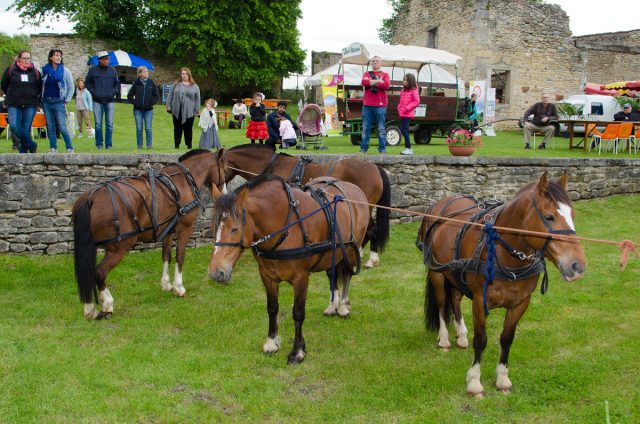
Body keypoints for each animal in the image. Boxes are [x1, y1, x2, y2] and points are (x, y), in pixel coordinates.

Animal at [72, 149, 226, 318]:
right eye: (223, 168)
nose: (224, 192)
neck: (181, 181)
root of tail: (90, 198)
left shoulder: (167, 230)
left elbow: (166, 255)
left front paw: (166, 284)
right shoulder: (185, 228)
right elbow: (180, 256)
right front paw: (179, 287)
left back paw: (90, 309)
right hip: (119, 248)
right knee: (99, 273)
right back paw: (107, 304)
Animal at [209, 176, 368, 364]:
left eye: (235, 229)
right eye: (214, 228)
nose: (216, 272)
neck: (283, 226)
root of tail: (354, 188)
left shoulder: (301, 278)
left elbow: (298, 313)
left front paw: (297, 351)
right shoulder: (267, 276)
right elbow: (272, 308)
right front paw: (272, 342)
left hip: (350, 250)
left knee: (348, 275)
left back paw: (343, 306)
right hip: (333, 253)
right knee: (332, 274)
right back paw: (332, 305)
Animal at [418, 172, 588, 398]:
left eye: (573, 215)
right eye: (549, 216)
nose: (578, 266)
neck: (505, 252)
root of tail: (440, 203)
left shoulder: (520, 303)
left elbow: (507, 339)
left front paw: (502, 379)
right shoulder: (480, 301)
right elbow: (481, 340)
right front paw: (474, 382)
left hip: (455, 273)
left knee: (454, 298)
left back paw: (461, 335)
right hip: (436, 272)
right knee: (441, 302)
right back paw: (444, 340)